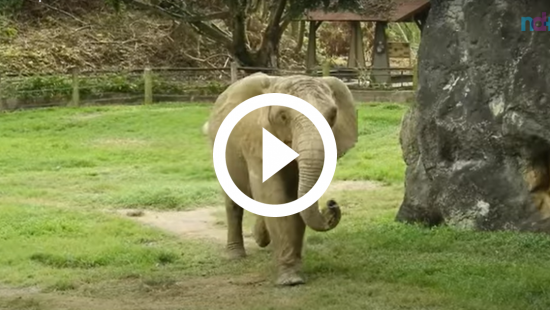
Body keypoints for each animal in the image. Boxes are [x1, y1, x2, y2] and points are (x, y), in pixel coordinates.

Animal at [205, 72, 360, 286]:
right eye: (283, 116)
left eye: (332, 116)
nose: (331, 205)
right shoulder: (256, 140)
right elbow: (275, 196)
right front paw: (290, 280)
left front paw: (292, 273)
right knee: (233, 201)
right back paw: (235, 255)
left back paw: (262, 239)